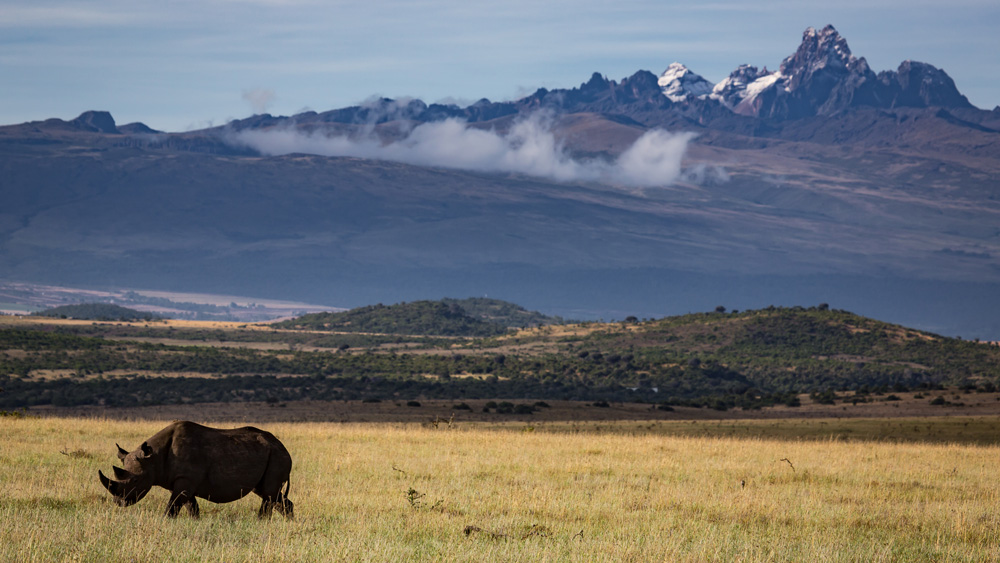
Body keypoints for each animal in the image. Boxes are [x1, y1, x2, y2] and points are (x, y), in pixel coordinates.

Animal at [98, 424, 292, 520]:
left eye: (136, 481)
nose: (119, 502)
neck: (153, 457)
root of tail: (283, 447)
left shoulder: (185, 480)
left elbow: (172, 507)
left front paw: (165, 521)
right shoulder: (182, 481)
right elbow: (191, 507)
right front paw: (195, 522)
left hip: (277, 456)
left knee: (269, 493)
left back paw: (261, 521)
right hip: (269, 454)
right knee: (270, 494)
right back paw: (287, 521)